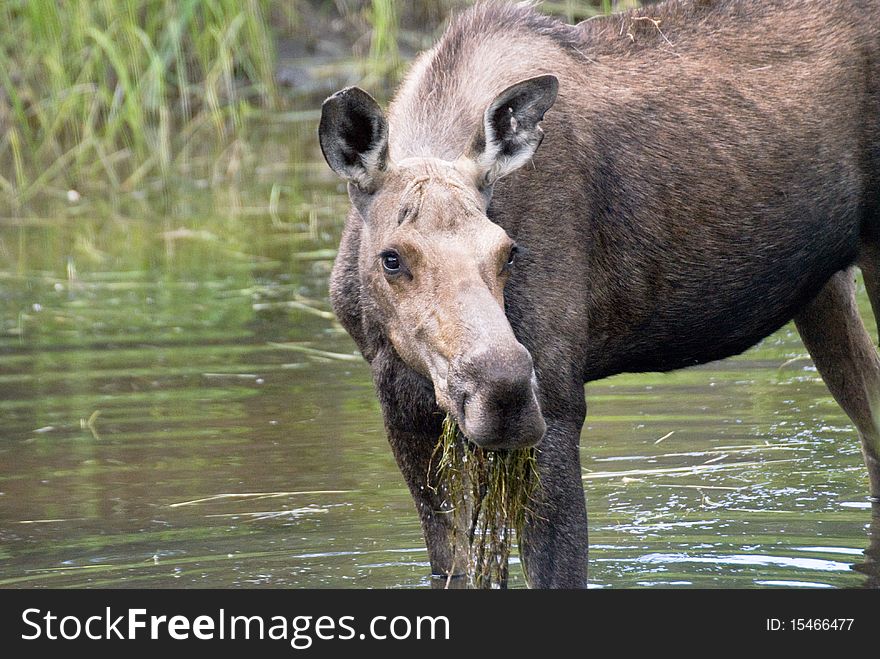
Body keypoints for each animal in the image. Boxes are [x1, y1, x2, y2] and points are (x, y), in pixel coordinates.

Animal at [320, 0, 880, 588]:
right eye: (392, 257)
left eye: (508, 251)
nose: (504, 391)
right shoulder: (399, 399)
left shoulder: (557, 405)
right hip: (823, 286)